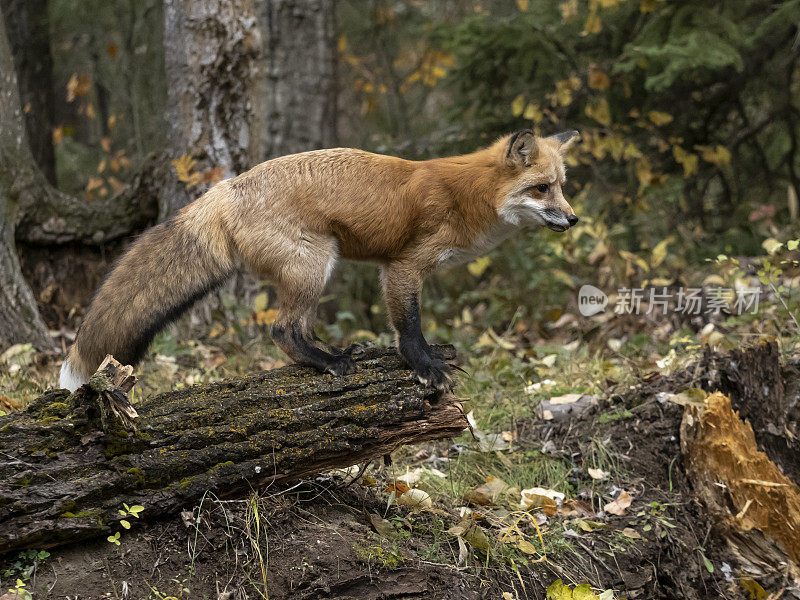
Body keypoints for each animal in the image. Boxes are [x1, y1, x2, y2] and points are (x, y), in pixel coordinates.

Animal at [57, 130, 580, 394]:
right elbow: (409, 327)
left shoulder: (394, 270)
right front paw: (425, 367)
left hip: (313, 270)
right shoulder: (403, 266)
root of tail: (229, 187)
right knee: (282, 330)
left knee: (297, 328)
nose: (574, 218)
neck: (469, 195)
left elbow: (411, 326)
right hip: (314, 265)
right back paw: (327, 364)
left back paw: (333, 353)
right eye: (542, 189)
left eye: (562, 185)